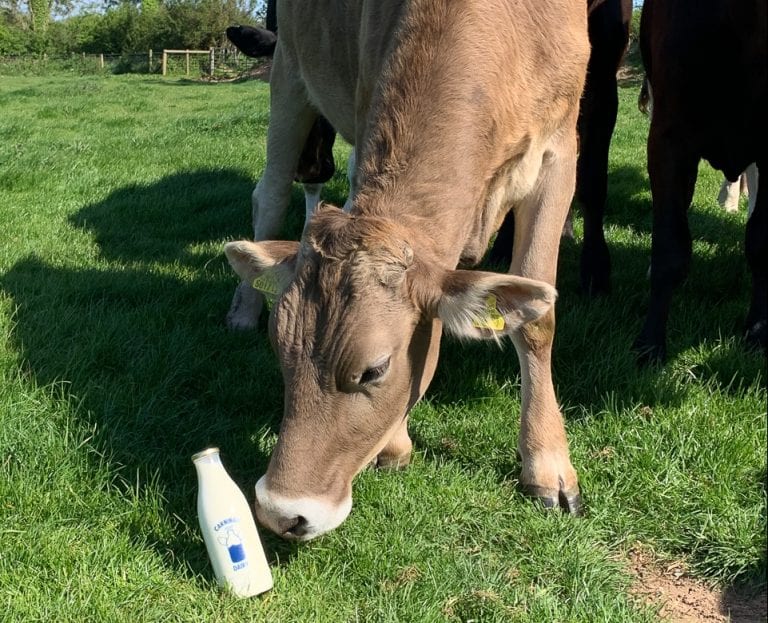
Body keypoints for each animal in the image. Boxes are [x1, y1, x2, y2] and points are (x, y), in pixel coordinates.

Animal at [223, 0, 590, 540]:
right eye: (279, 349)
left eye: (375, 368)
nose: (279, 512)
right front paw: (395, 442)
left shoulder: (560, 149)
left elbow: (536, 321)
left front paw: (548, 466)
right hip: (289, 71)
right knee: (269, 196)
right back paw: (245, 307)